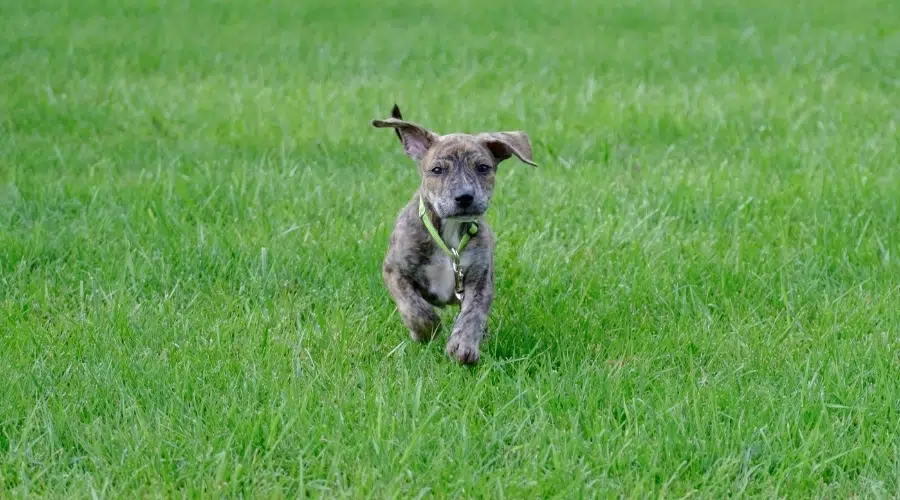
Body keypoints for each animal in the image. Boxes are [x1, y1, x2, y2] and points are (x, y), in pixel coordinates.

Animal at [370, 105, 536, 364]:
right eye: (437, 170)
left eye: (483, 168)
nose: (464, 197)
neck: (449, 234)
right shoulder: (394, 271)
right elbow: (414, 307)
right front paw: (425, 330)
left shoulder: (480, 280)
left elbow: (472, 315)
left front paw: (464, 345)